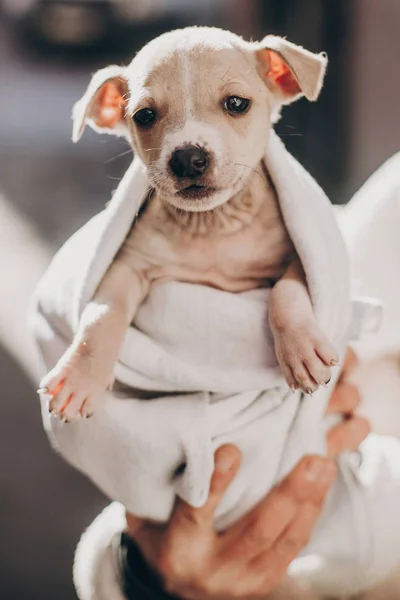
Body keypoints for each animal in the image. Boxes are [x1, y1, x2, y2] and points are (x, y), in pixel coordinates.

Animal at [39, 27, 338, 422]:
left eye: (237, 104)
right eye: (144, 115)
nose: (187, 158)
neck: (211, 224)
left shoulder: (297, 257)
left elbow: (285, 292)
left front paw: (302, 351)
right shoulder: (127, 268)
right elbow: (101, 315)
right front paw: (79, 376)